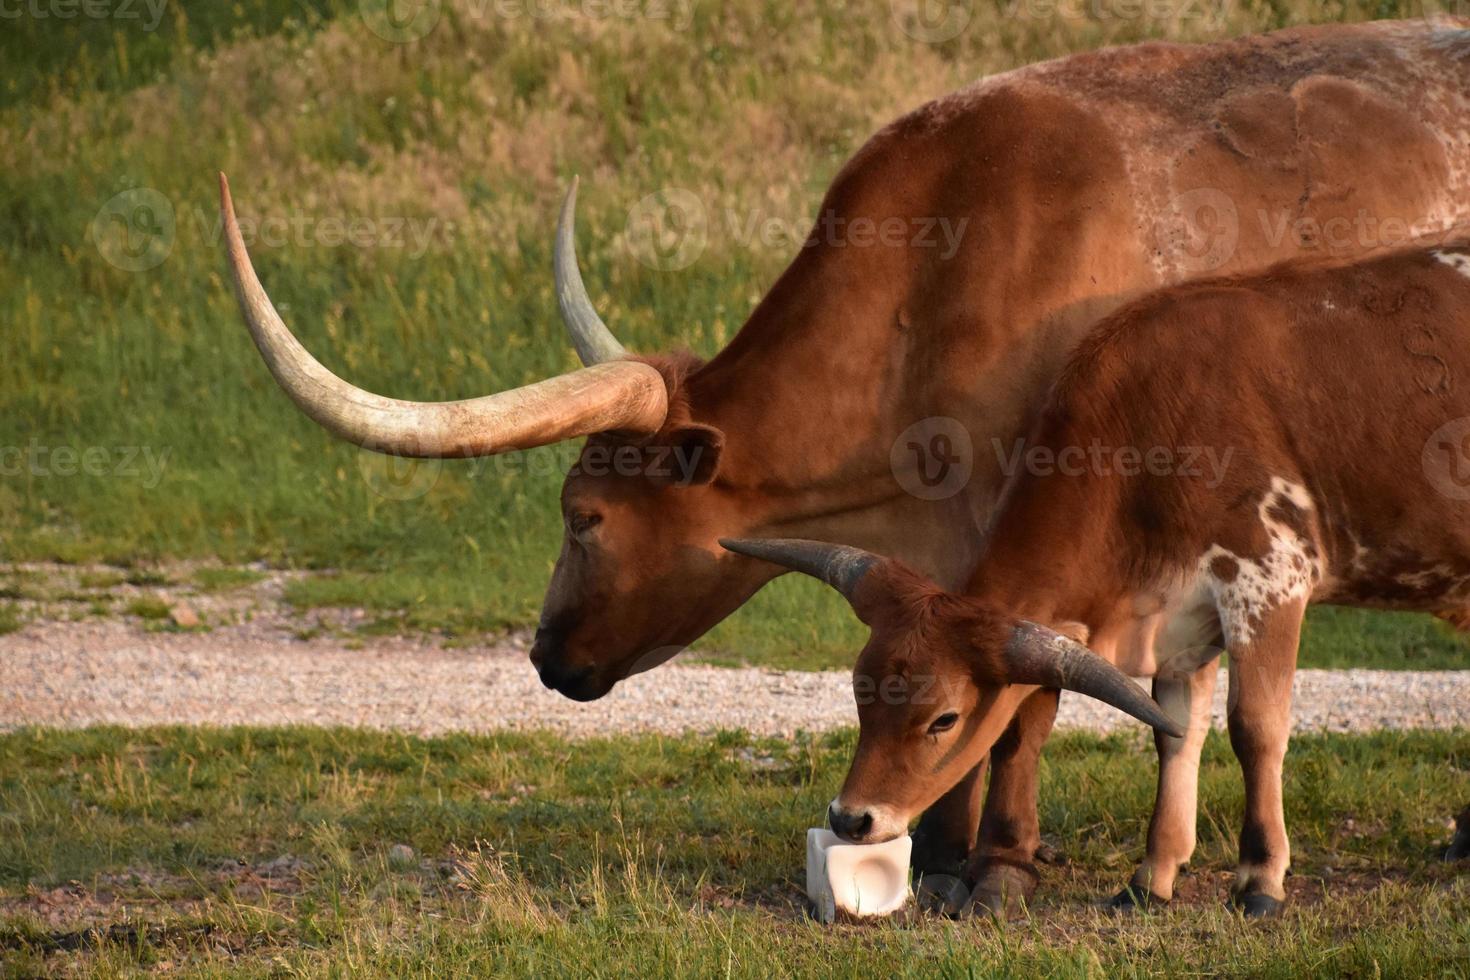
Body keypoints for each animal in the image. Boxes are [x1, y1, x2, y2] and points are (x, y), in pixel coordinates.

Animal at [720, 245, 1470, 922]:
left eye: (944, 719)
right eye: (859, 692)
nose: (851, 819)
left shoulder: (1267, 579)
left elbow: (1255, 728)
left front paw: (1260, 878)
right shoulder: (1182, 622)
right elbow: (1175, 736)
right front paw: (1151, 878)